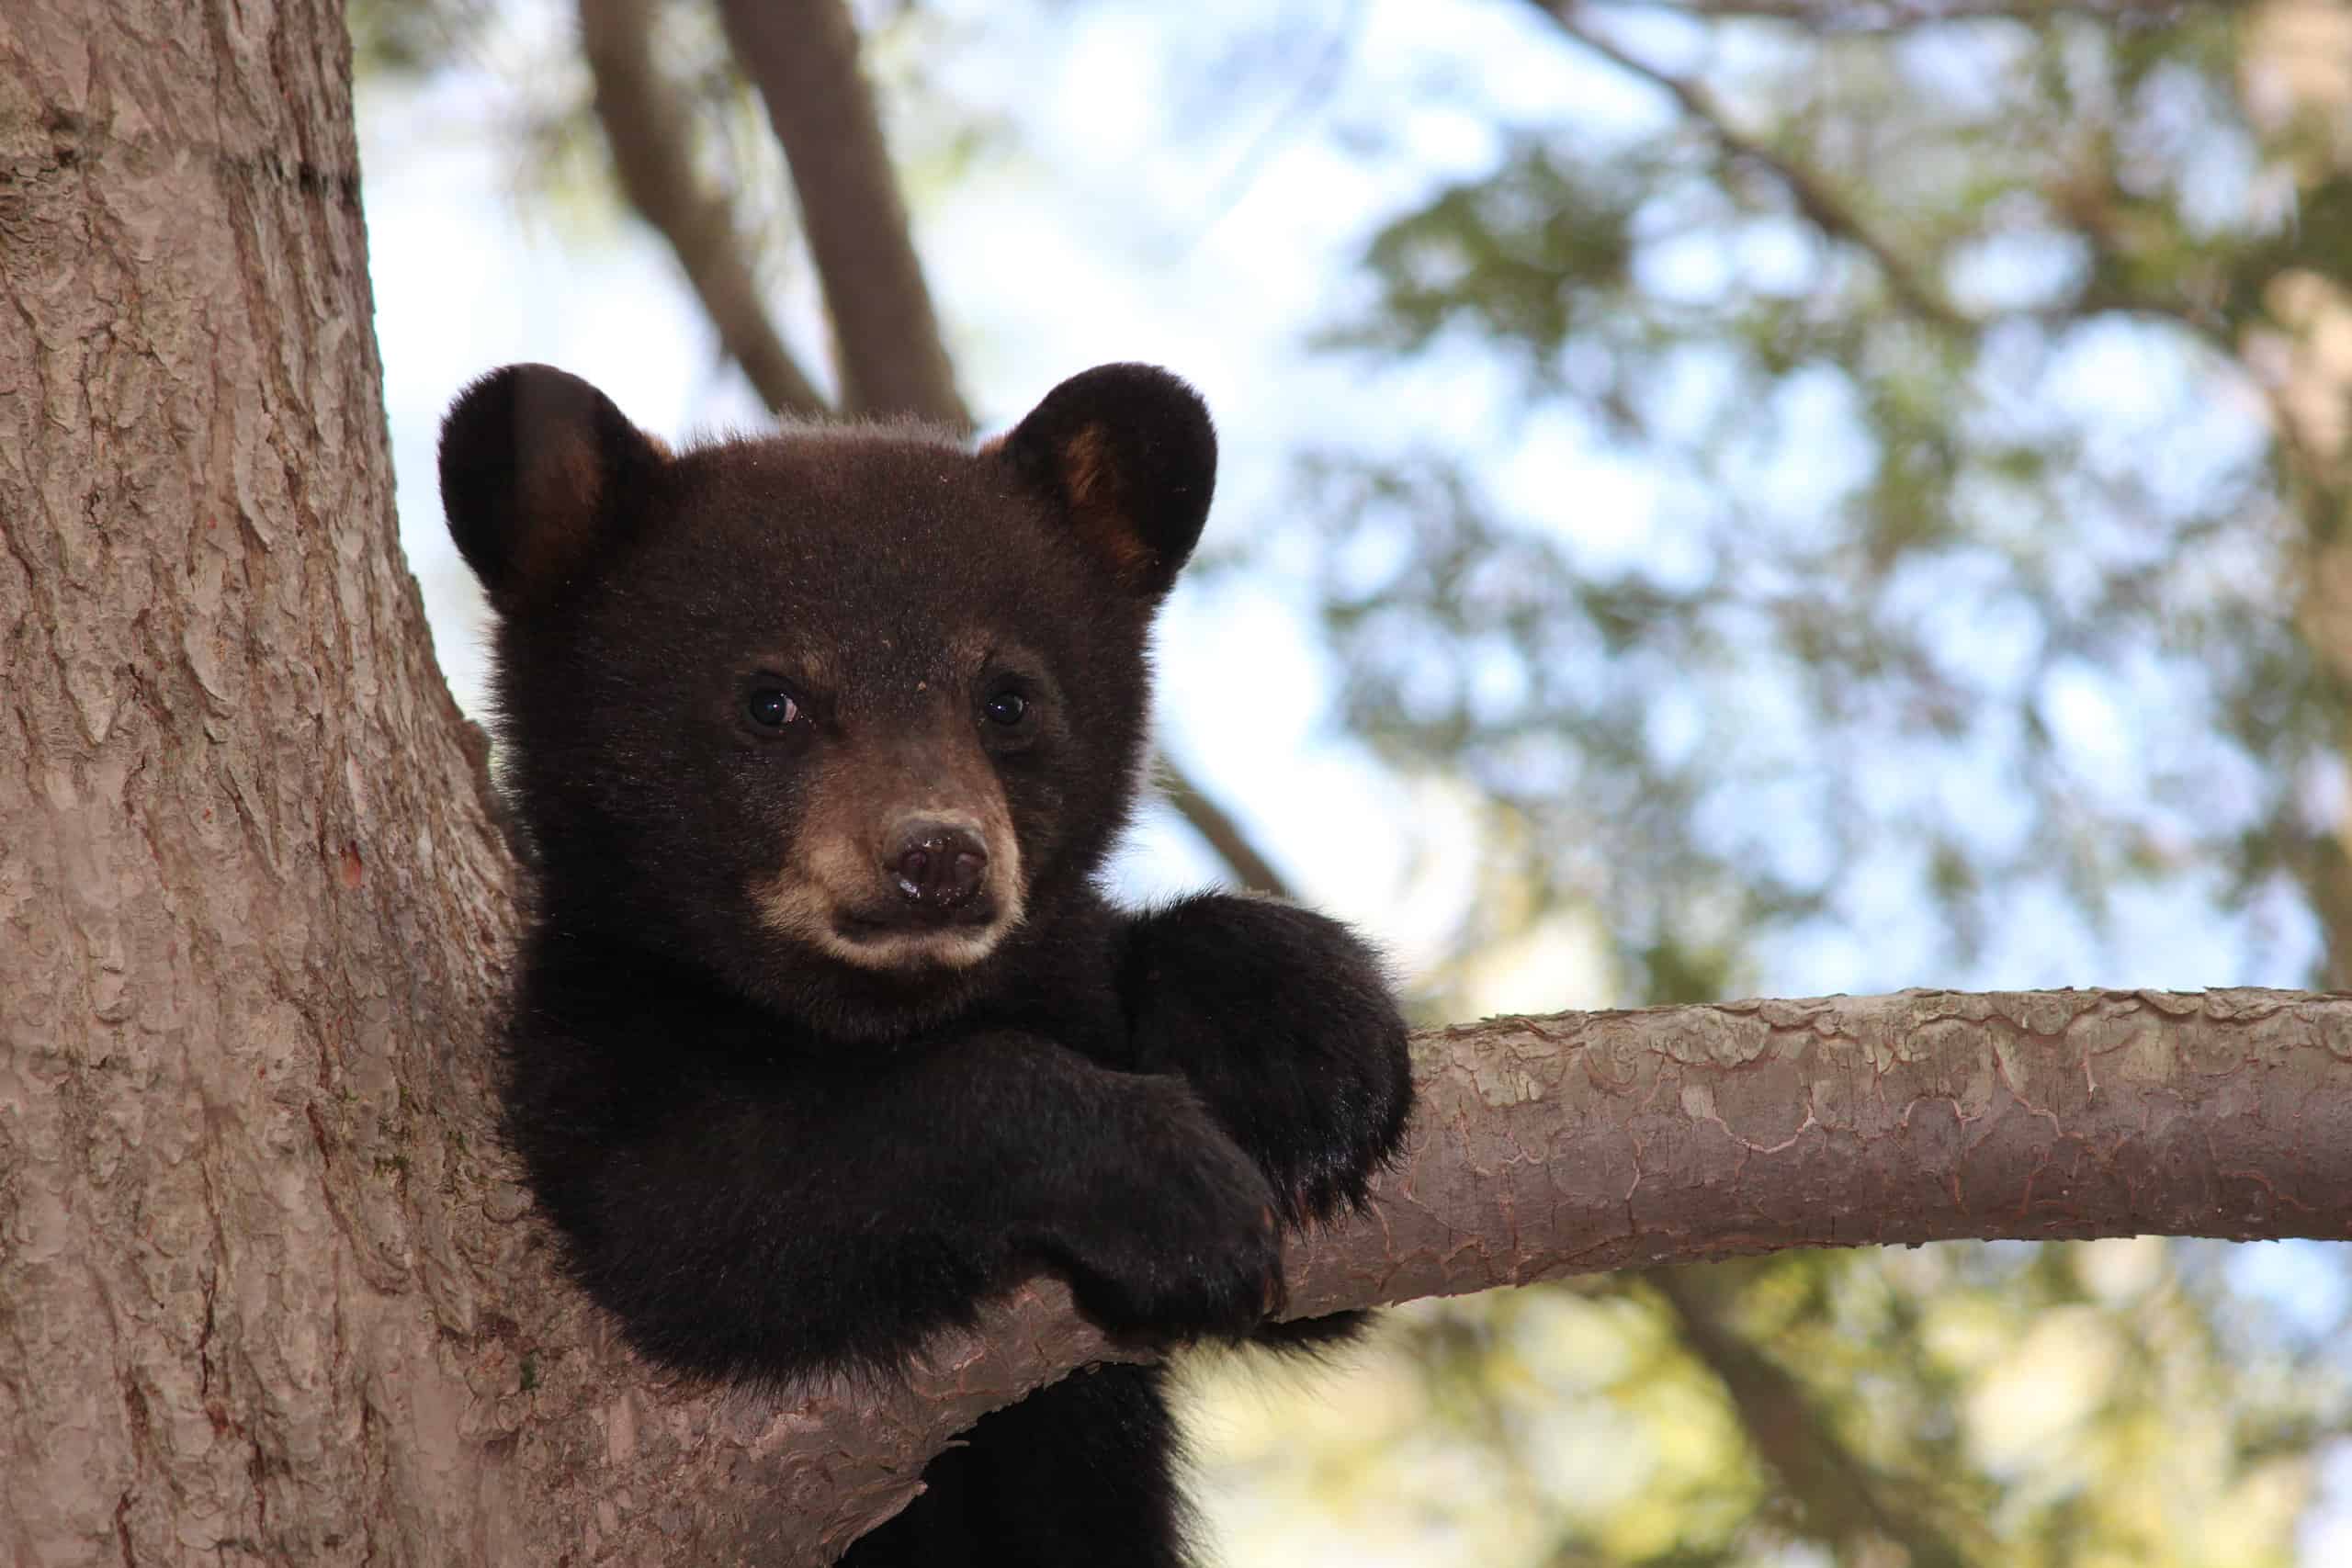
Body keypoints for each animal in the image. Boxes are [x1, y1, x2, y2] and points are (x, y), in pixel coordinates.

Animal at [437, 360, 1416, 1566]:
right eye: (770, 700)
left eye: (1007, 697)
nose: (938, 856)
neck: (880, 1007)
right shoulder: (596, 1039)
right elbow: (704, 1214)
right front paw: (1159, 1177)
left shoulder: (1060, 977)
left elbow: (1327, 1287)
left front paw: (1299, 1045)